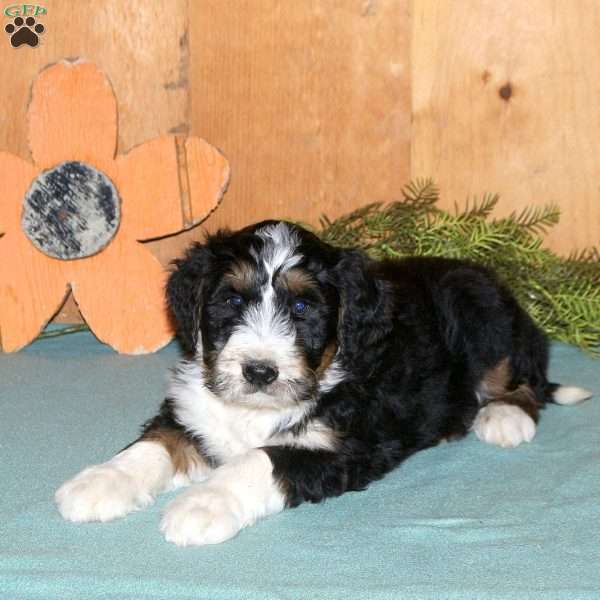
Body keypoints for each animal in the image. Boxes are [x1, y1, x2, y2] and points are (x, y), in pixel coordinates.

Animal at [55, 219, 592, 544]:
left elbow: (258, 460)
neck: (255, 411)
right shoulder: (193, 411)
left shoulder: (337, 447)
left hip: (482, 312)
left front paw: (203, 504)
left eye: (301, 307)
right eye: (231, 301)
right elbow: (154, 444)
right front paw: (100, 482)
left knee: (524, 374)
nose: (259, 371)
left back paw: (503, 416)